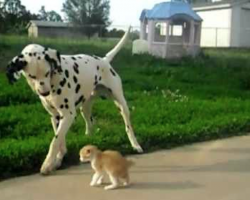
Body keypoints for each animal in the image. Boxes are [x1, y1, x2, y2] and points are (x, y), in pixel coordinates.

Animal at [6, 27, 143, 174]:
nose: (44, 93)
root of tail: (104, 60)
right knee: (91, 122)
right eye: (31, 76)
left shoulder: (68, 115)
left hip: (121, 104)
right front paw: (58, 160)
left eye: (47, 73)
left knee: (128, 127)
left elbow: (55, 141)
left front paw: (47, 164)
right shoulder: (55, 116)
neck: (55, 78)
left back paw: (135, 145)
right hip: (85, 108)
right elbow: (60, 140)